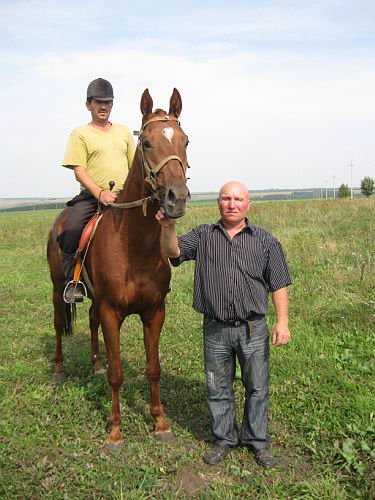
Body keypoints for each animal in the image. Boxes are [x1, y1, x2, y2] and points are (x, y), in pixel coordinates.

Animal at [47, 87, 191, 450]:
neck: (135, 247)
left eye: (185, 141)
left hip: (96, 300)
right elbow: (117, 374)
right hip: (57, 290)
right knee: (59, 323)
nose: (177, 198)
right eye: (148, 143)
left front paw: (160, 424)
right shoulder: (113, 311)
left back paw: (95, 363)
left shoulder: (154, 312)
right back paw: (59, 370)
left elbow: (153, 368)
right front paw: (114, 431)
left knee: (91, 321)